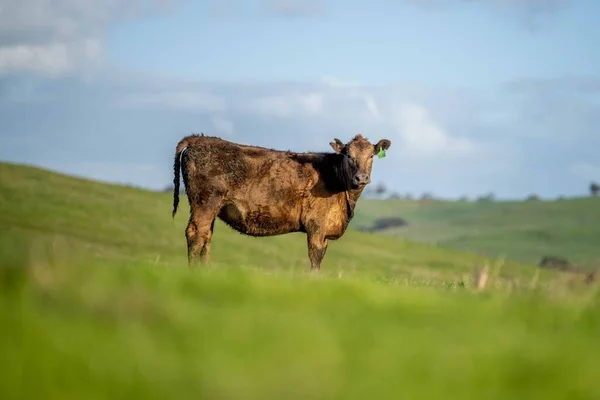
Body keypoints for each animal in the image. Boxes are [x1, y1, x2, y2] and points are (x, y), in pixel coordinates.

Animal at [171, 133, 392, 270]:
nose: (361, 177)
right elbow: (316, 256)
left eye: (371, 156)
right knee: (195, 234)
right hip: (205, 203)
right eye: (348, 155)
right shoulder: (316, 225)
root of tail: (198, 139)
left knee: (206, 235)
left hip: (212, 208)